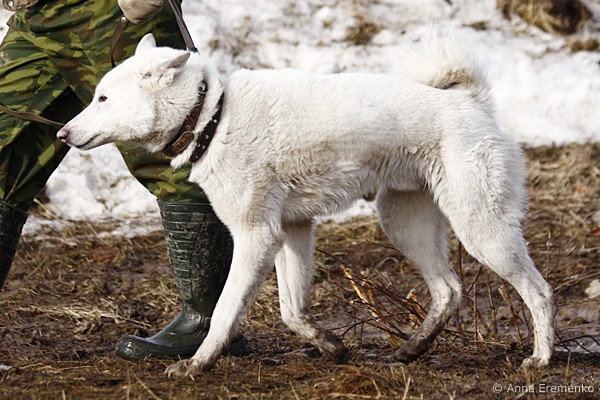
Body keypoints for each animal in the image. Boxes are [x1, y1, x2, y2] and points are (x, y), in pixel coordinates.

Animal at [57, 31, 555, 377]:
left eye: (103, 98)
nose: (61, 133)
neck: (211, 116)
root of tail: (472, 103)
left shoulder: (256, 236)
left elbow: (225, 312)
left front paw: (198, 364)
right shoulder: (292, 231)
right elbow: (290, 311)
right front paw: (330, 344)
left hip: (481, 230)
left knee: (539, 291)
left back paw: (541, 358)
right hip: (404, 224)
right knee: (449, 290)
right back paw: (413, 348)